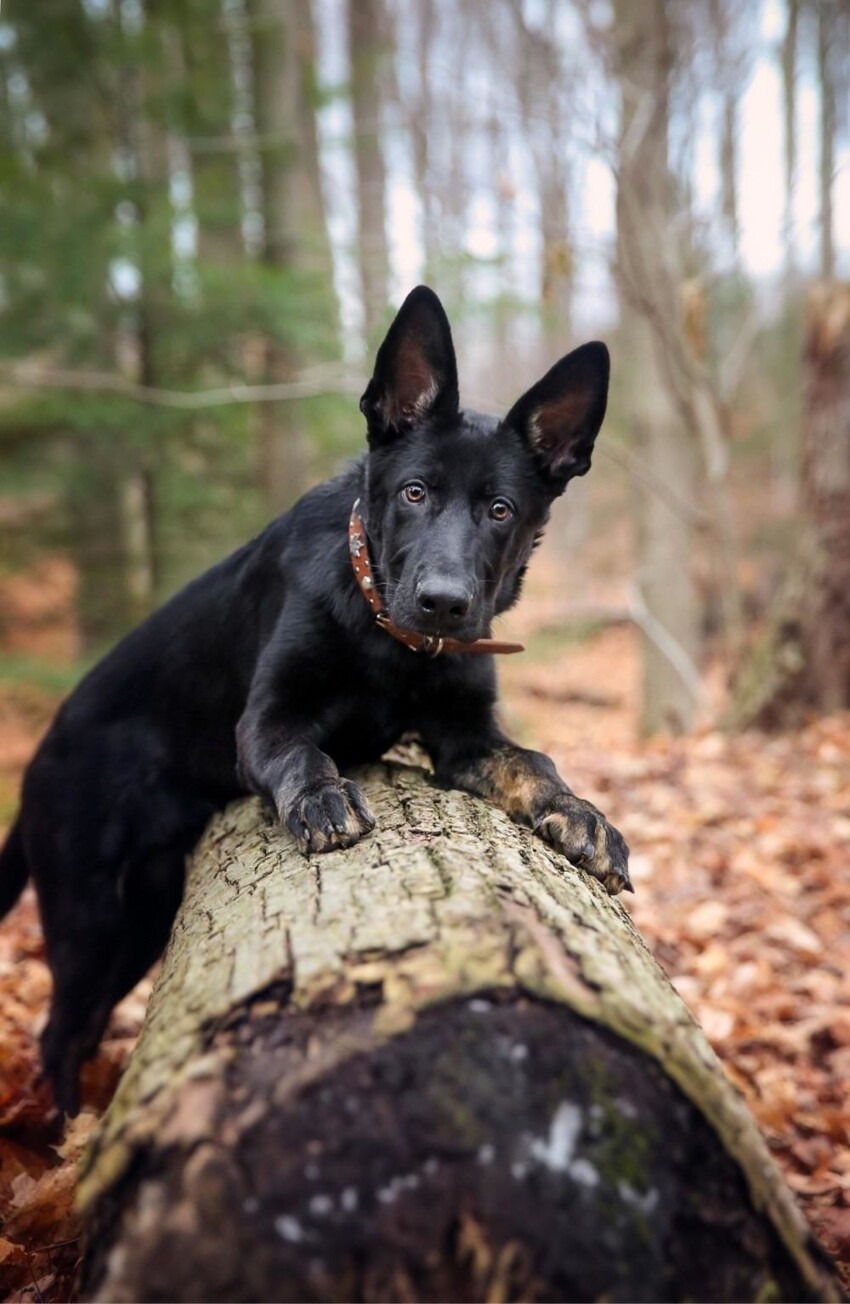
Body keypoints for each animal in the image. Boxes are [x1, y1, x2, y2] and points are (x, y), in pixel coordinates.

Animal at [1, 290, 630, 1116]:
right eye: (415, 493)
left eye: (500, 510)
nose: (443, 605)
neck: (391, 643)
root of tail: (36, 763)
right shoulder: (266, 719)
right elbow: (302, 751)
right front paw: (323, 801)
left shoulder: (466, 736)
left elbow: (533, 760)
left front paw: (581, 814)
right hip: (89, 919)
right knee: (60, 1035)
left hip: (141, 918)